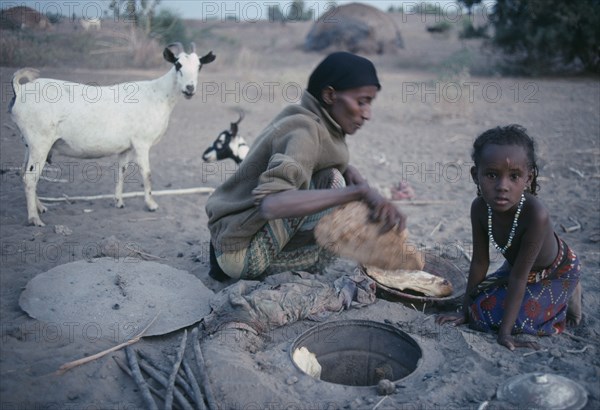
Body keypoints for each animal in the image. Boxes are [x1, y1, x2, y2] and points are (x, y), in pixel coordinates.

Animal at [10, 43, 216, 226]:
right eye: (178, 64)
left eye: (199, 66)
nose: (189, 89)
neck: (158, 94)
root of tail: (20, 90)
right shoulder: (142, 143)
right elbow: (147, 173)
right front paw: (151, 205)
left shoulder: (126, 147)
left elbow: (121, 171)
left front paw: (119, 202)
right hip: (40, 142)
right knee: (30, 178)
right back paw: (34, 219)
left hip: (28, 143)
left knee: (23, 173)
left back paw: (41, 207)